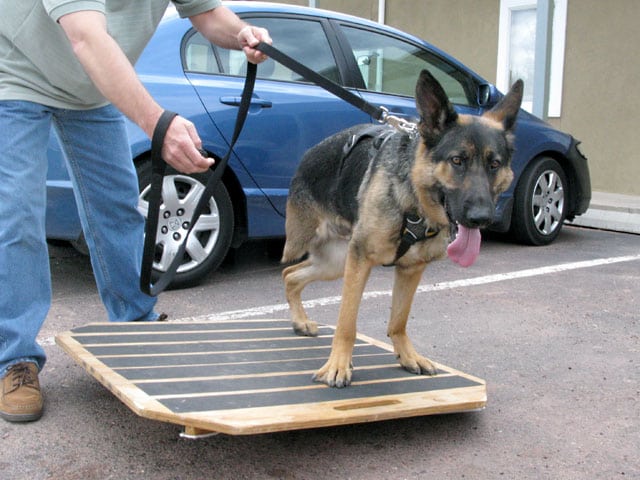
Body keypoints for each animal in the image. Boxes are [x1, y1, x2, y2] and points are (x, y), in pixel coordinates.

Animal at [282, 70, 524, 386]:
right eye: (457, 160)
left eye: (494, 164)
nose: (481, 218)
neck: (414, 202)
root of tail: (307, 156)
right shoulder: (360, 261)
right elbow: (347, 322)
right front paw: (337, 365)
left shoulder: (411, 269)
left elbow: (399, 320)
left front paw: (407, 356)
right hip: (337, 258)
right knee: (289, 271)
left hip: (335, 263)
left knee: (290, 275)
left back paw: (300, 321)